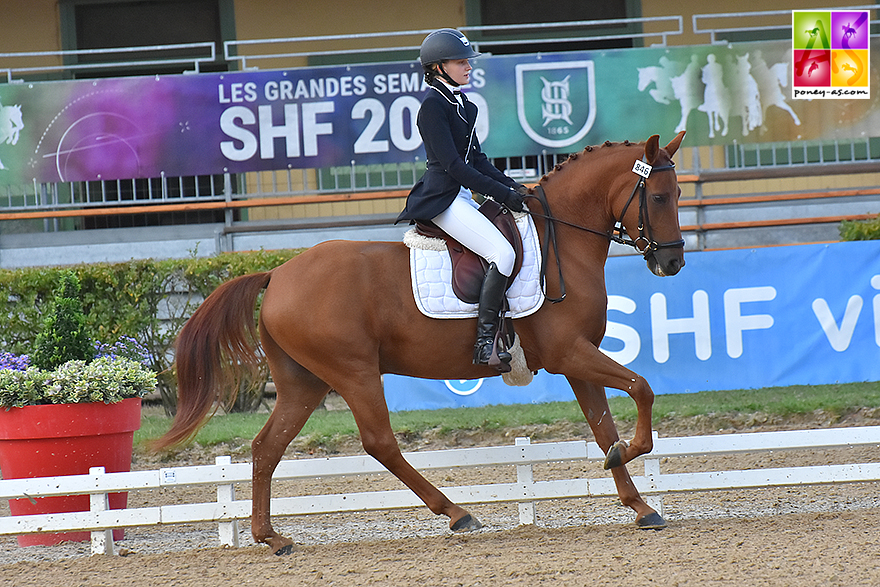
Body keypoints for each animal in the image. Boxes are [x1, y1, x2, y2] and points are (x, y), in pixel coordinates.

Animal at [153, 130, 688, 556]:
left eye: (679, 192)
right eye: (660, 198)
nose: (673, 263)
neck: (564, 241)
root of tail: (278, 273)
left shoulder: (578, 359)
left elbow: (603, 427)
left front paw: (639, 503)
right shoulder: (568, 353)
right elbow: (642, 388)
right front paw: (631, 456)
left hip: (304, 382)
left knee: (267, 447)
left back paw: (272, 537)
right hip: (353, 372)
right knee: (380, 443)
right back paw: (456, 513)